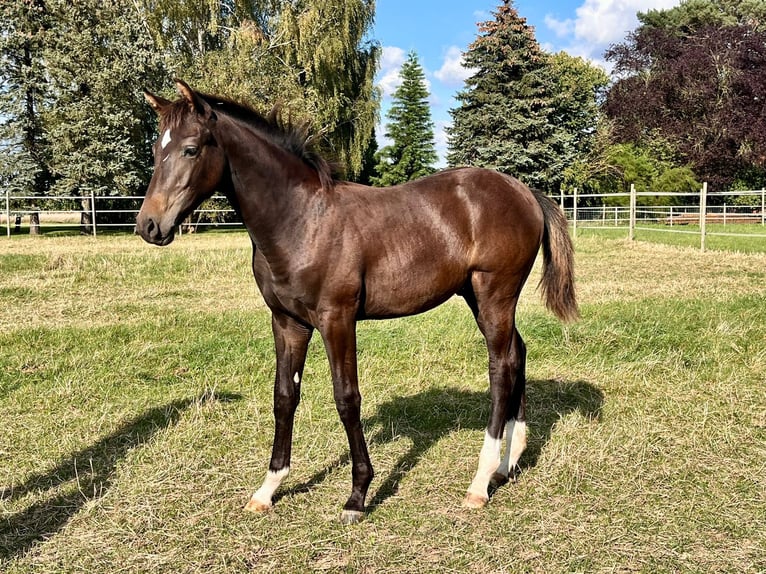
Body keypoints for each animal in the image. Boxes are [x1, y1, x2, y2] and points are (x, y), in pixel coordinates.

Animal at [138, 80, 580, 528]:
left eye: (191, 149)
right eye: (156, 149)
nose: (149, 226)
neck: (301, 220)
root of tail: (525, 191)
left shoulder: (337, 318)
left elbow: (346, 398)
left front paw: (357, 494)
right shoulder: (287, 322)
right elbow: (284, 397)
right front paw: (268, 489)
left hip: (494, 294)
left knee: (501, 367)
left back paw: (479, 482)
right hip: (479, 296)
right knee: (517, 353)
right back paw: (507, 465)